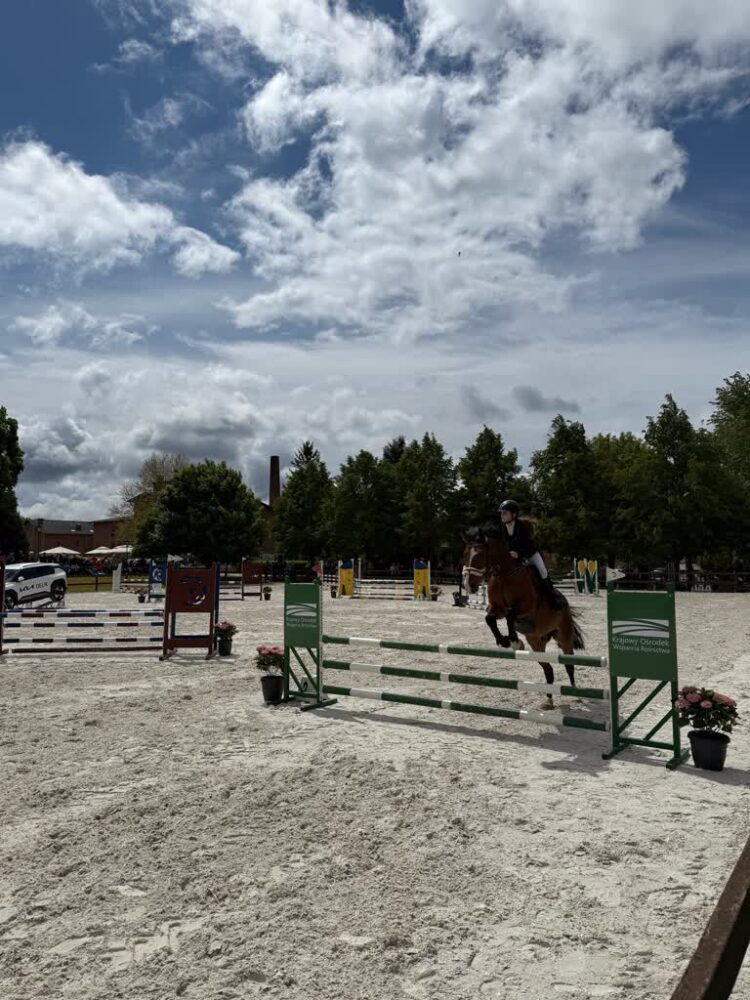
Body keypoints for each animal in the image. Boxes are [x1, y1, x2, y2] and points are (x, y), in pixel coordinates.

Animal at [461, 527, 584, 706]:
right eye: (465, 554)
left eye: (479, 556)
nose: (468, 586)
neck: (504, 575)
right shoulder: (496, 608)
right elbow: (489, 619)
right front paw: (505, 641)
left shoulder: (526, 608)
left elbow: (510, 616)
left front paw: (514, 641)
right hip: (536, 642)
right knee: (548, 669)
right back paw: (549, 700)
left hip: (564, 637)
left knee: (569, 664)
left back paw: (576, 694)